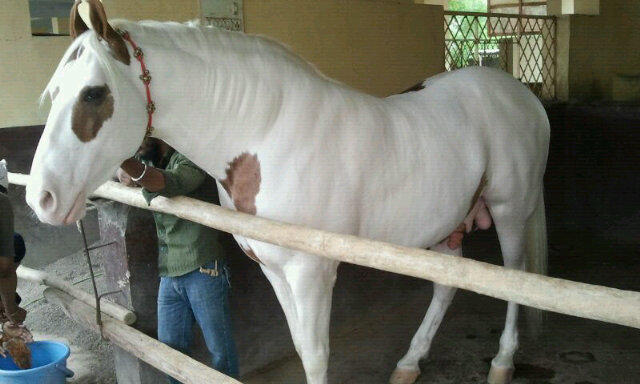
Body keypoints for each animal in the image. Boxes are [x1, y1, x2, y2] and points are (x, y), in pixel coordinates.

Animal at [27, 1, 552, 382]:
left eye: (94, 93)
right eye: (52, 93)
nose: (40, 199)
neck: (269, 132)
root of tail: (523, 97)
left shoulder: (310, 272)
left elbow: (316, 354)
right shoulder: (274, 269)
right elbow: (300, 346)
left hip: (509, 211)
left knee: (516, 277)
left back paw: (502, 362)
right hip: (449, 220)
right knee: (450, 281)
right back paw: (408, 364)